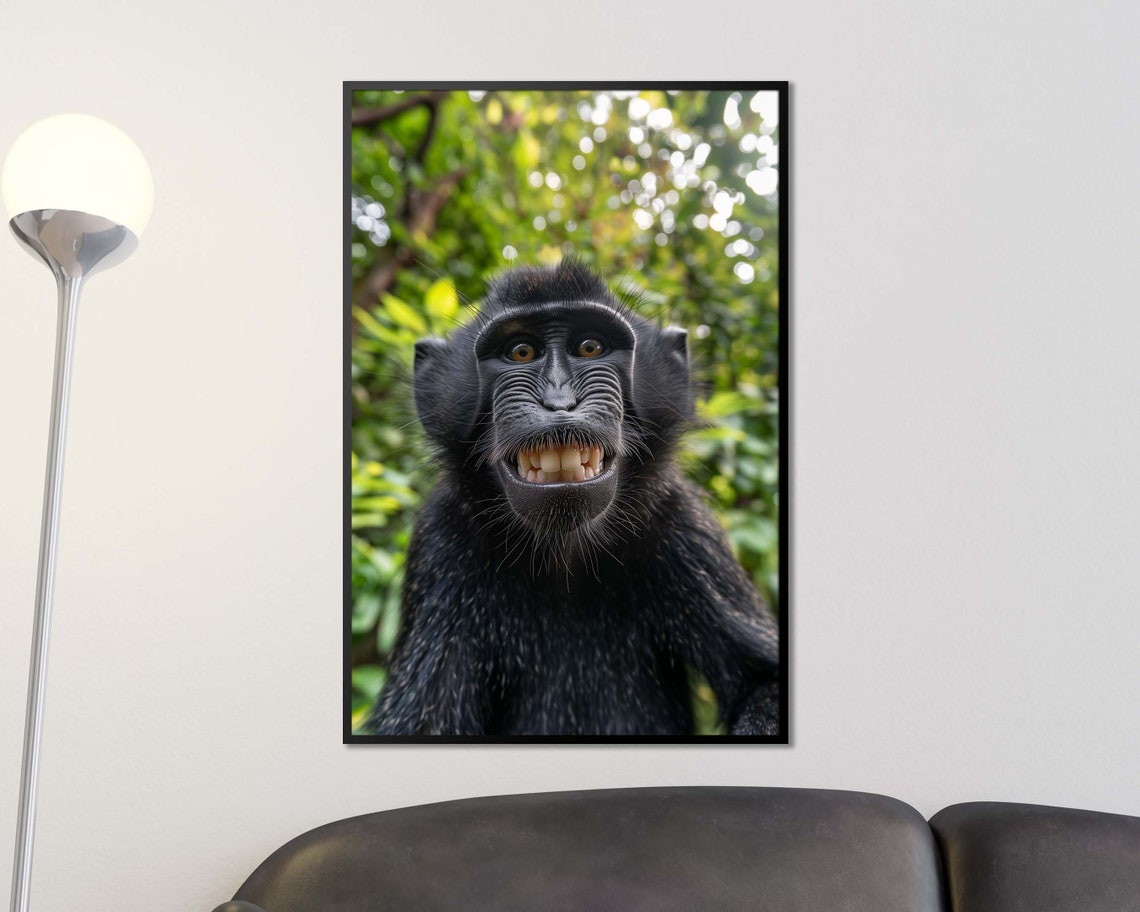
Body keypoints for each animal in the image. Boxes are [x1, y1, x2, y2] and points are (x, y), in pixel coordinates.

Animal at [362, 259, 781, 737]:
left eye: (590, 346)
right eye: (521, 352)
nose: (559, 401)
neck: (564, 554)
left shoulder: (685, 527)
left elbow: (765, 684)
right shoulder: (440, 544)